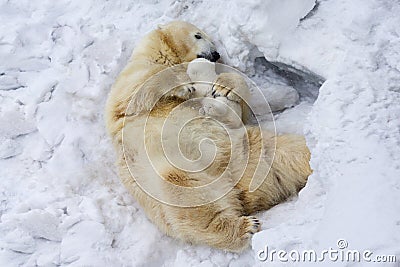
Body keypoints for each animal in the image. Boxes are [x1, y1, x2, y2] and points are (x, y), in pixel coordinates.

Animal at [104, 21, 310, 253]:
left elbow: (241, 108)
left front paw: (224, 86)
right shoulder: (133, 77)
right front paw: (184, 86)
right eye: (198, 35)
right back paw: (244, 227)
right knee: (188, 196)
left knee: (289, 152)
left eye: (212, 40)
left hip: (252, 151)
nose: (216, 54)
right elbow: (137, 90)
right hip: (181, 169)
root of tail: (237, 185)